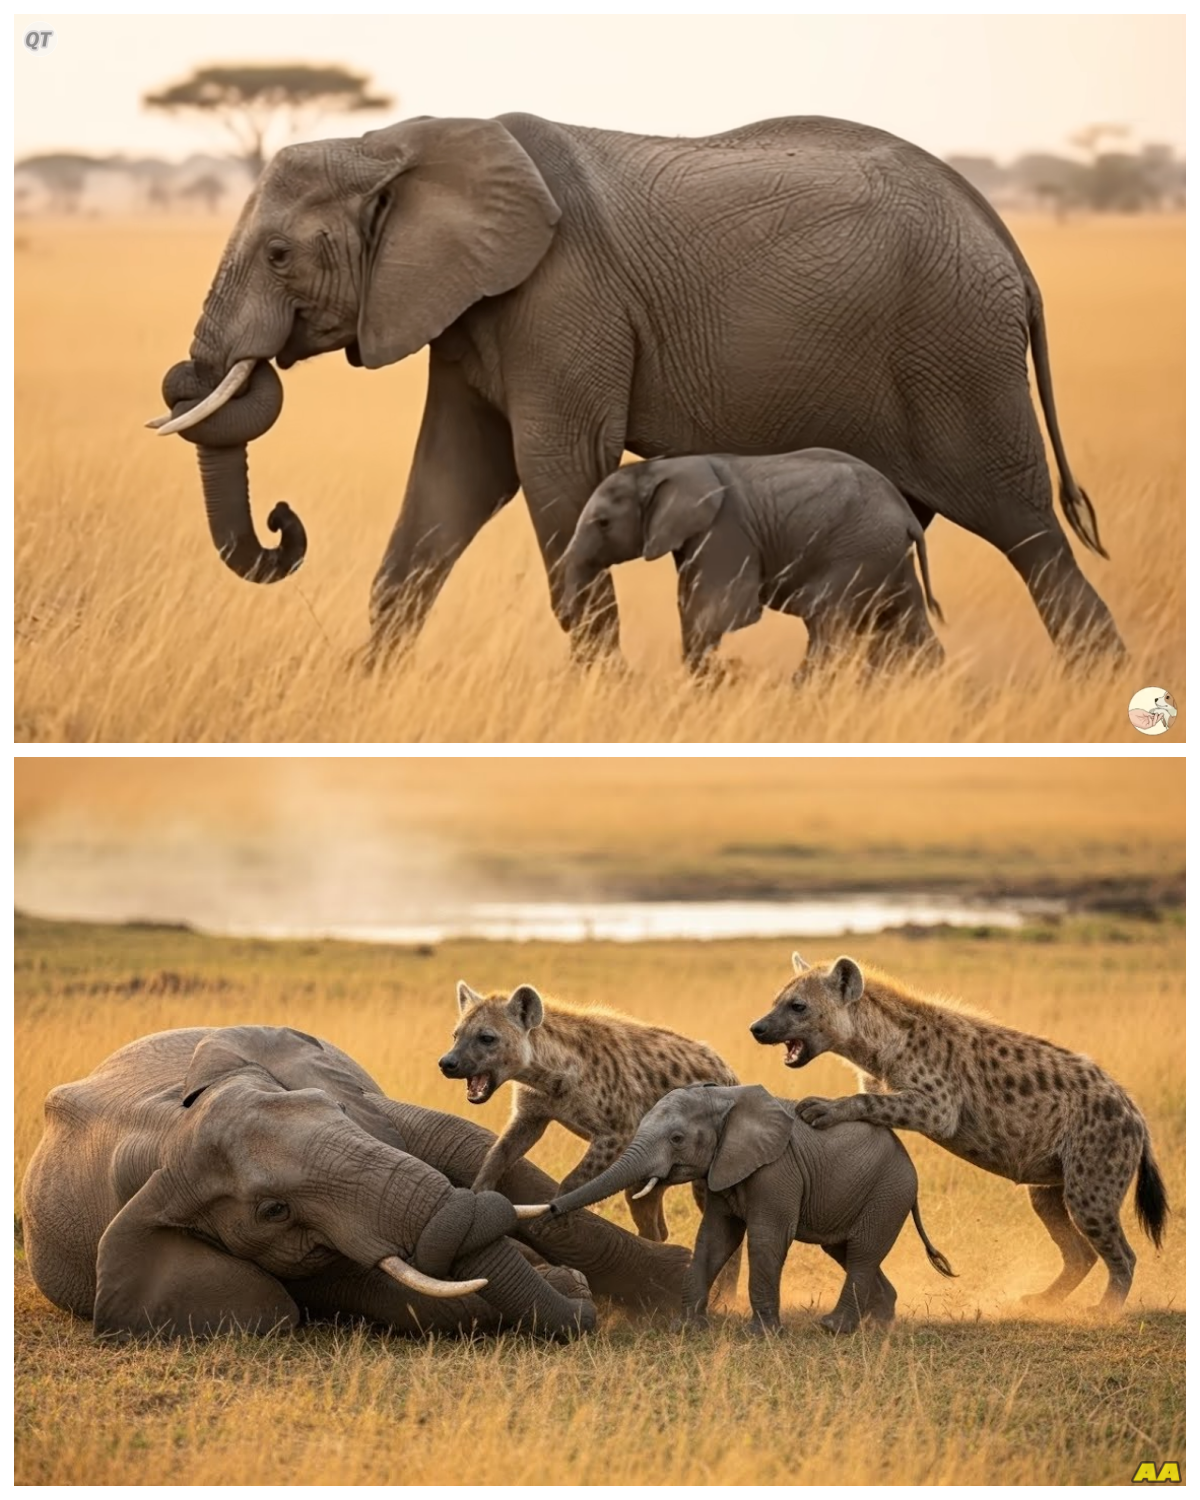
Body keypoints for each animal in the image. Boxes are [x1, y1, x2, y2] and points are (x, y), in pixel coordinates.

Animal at [20, 1026, 691, 1342]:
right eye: (274, 1211)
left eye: (335, 1110)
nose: (578, 1297)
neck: (166, 1130)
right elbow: (373, 1290)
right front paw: (564, 1284)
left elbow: (457, 1140)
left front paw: (678, 1284)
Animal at [540, 1083, 954, 1335]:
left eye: (677, 1139)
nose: (552, 1211)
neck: (723, 1100)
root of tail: (909, 1165)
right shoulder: (723, 1167)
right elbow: (713, 1239)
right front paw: (686, 1329)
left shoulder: (777, 1170)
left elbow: (766, 1238)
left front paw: (762, 1335)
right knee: (845, 1251)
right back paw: (878, 1325)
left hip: (889, 1191)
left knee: (863, 1252)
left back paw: (834, 1328)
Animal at [559, 450, 944, 676]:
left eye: (603, 523)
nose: (564, 617)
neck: (658, 468)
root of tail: (908, 517)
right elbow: (690, 606)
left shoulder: (726, 528)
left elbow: (715, 612)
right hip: (888, 555)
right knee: (906, 622)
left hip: (858, 548)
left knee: (825, 621)